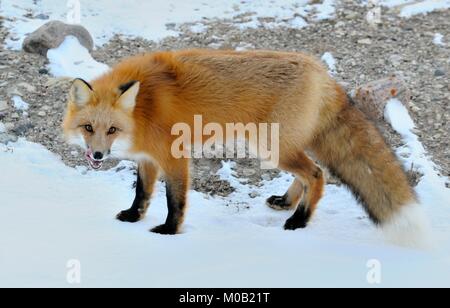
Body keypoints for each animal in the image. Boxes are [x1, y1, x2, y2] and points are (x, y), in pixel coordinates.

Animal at [63, 48, 426, 242]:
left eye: (112, 129)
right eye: (88, 128)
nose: (97, 154)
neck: (143, 108)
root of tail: (322, 73)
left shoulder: (173, 156)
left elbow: (174, 201)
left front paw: (169, 230)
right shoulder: (148, 158)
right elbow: (142, 193)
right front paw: (132, 217)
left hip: (270, 146)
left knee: (317, 174)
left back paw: (299, 220)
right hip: (278, 145)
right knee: (309, 173)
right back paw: (286, 202)